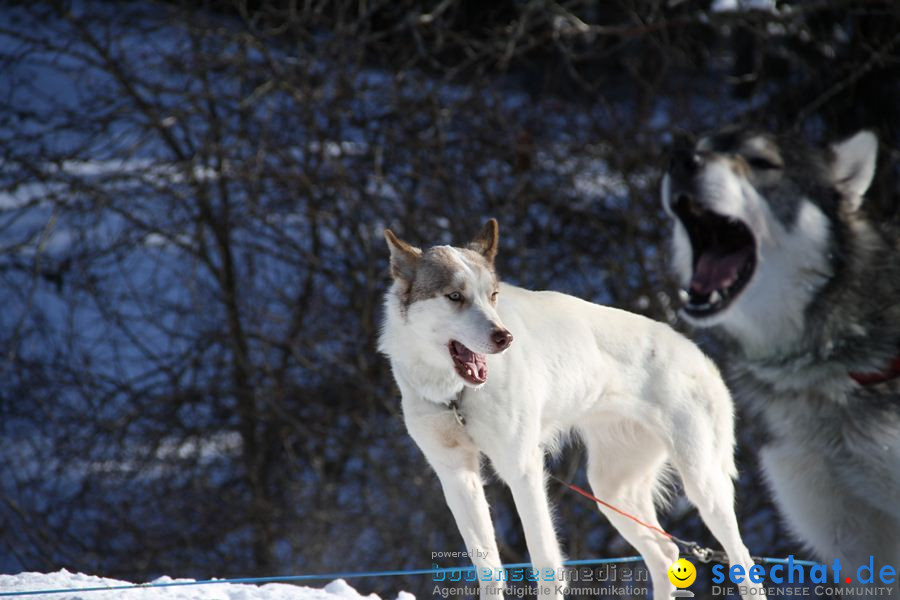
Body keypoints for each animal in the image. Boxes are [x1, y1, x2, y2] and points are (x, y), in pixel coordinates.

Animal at [380, 221, 768, 600]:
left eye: (492, 296)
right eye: (455, 296)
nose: (504, 338)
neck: (457, 396)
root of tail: (700, 357)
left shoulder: (521, 468)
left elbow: (544, 563)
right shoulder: (456, 473)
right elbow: (488, 569)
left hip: (702, 483)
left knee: (742, 562)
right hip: (612, 490)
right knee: (665, 553)